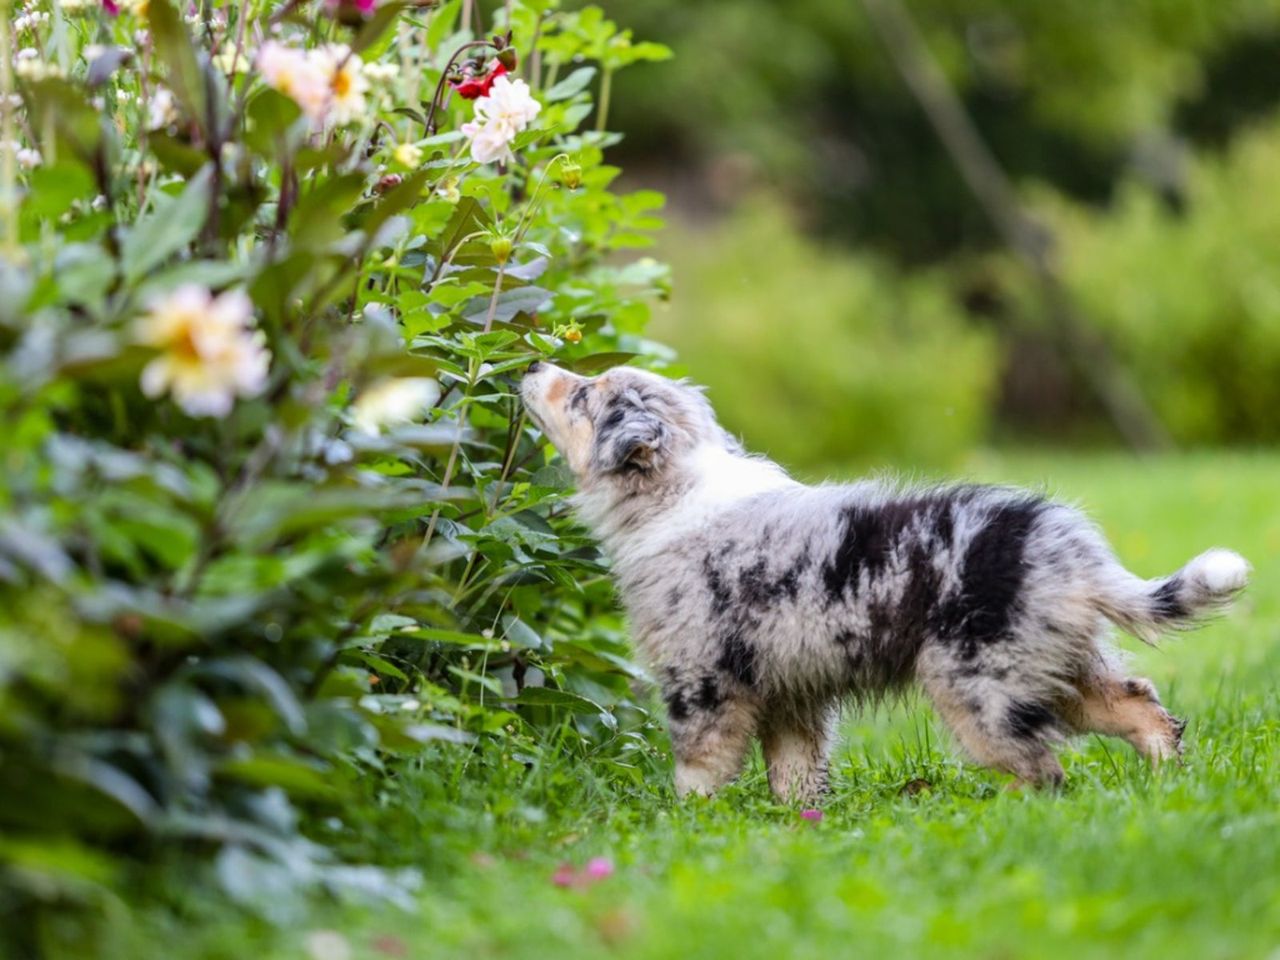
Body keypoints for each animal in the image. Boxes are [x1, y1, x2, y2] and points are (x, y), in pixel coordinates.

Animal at [517, 363, 1249, 798]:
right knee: (1139, 705)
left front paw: (688, 821)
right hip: (1054, 665)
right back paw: (1168, 782)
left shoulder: (702, 680)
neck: (673, 491)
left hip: (976, 682)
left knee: (1040, 767)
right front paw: (795, 826)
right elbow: (795, 771)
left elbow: (699, 765)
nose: (533, 364)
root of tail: (1075, 552)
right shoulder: (788, 689)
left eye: (581, 396)